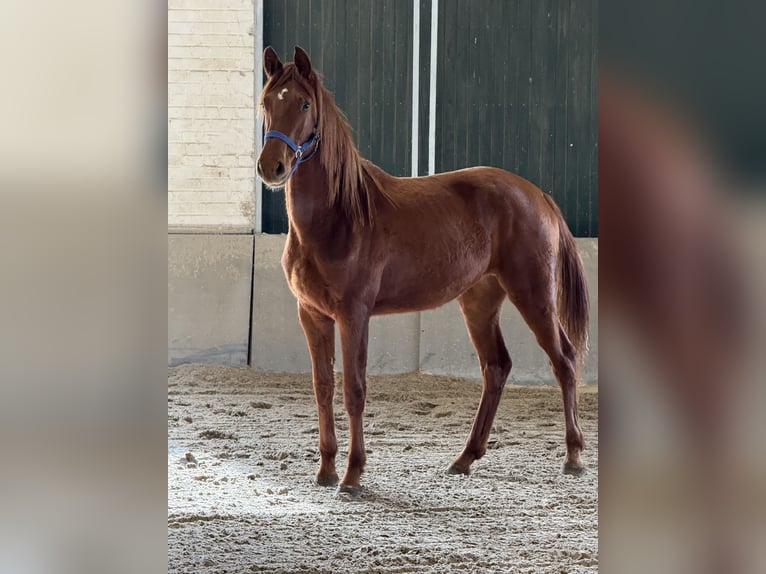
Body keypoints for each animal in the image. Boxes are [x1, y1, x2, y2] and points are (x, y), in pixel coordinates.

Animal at [258, 47, 592, 498]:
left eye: (304, 104)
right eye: (266, 102)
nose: (271, 167)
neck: (339, 216)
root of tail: (538, 195)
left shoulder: (354, 314)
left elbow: (354, 390)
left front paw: (352, 476)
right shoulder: (311, 314)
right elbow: (322, 388)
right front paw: (325, 470)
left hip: (534, 295)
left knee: (565, 360)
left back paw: (573, 458)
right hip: (479, 301)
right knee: (496, 367)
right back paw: (464, 459)